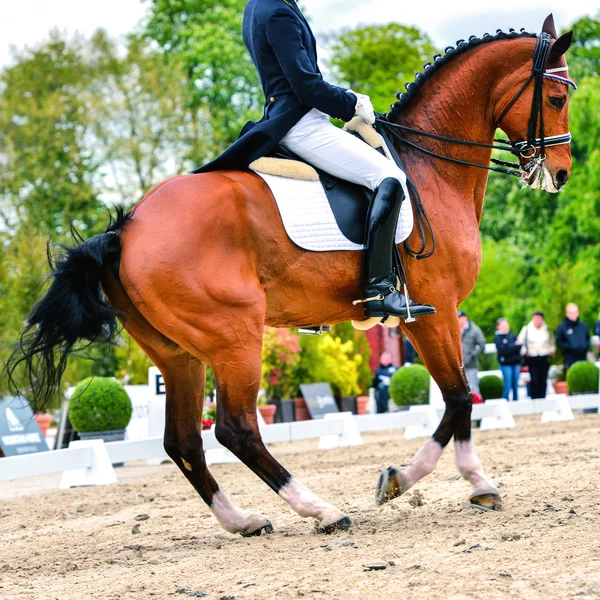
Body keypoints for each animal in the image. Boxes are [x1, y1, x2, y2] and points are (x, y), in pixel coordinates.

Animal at [5, 17, 576, 536]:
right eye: (554, 98)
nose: (561, 173)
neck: (428, 168)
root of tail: (128, 227)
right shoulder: (431, 311)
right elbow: (459, 398)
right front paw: (411, 480)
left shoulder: (431, 316)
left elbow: (460, 399)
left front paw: (469, 483)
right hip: (234, 336)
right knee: (235, 430)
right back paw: (321, 510)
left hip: (178, 352)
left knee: (184, 440)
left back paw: (242, 520)